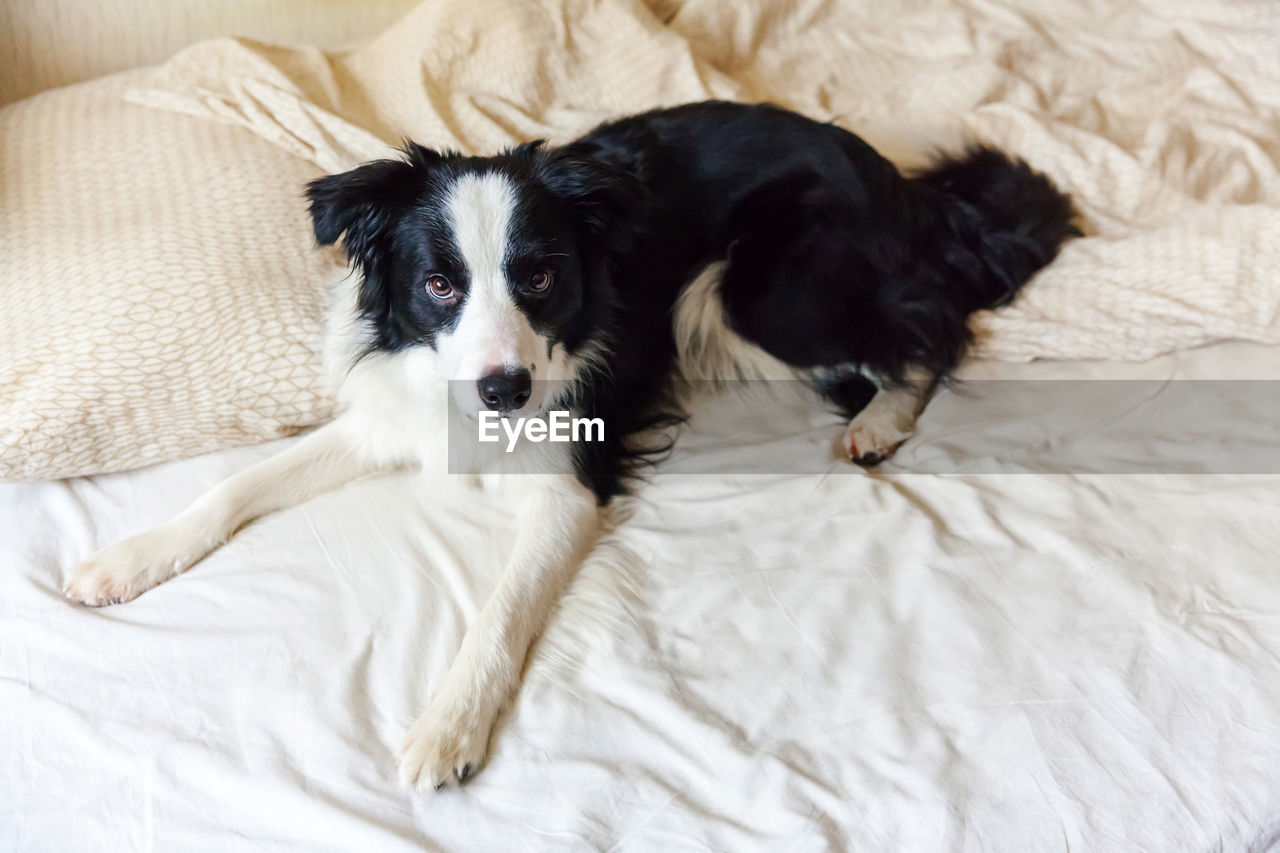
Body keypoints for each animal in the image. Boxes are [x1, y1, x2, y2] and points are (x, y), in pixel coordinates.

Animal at [62, 101, 1080, 788]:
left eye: (542, 276)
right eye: (438, 283)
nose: (504, 390)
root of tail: (905, 188)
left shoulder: (570, 482)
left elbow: (501, 608)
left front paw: (448, 726)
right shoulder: (393, 414)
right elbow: (235, 487)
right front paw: (128, 558)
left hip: (763, 291)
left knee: (930, 334)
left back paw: (878, 423)